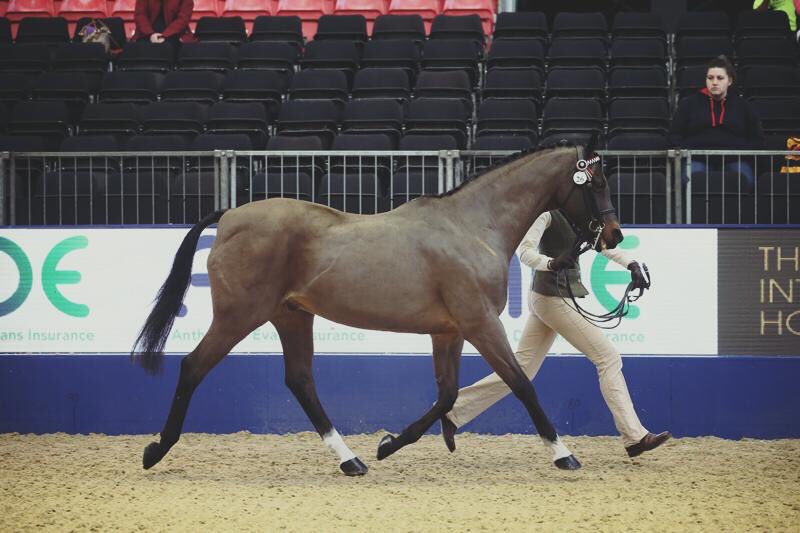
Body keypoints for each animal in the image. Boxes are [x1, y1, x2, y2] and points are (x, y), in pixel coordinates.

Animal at [131, 138, 623, 476]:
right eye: (596, 182)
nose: (614, 235)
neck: (473, 227)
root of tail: (230, 216)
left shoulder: (449, 331)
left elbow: (447, 394)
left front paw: (389, 444)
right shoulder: (480, 323)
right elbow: (521, 384)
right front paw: (564, 455)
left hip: (292, 315)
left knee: (300, 381)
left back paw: (351, 461)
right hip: (239, 316)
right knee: (193, 366)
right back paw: (155, 451)